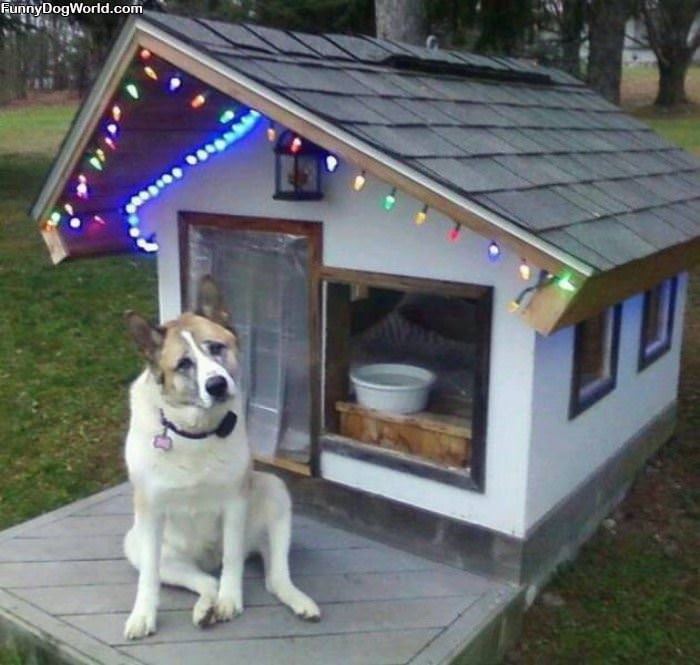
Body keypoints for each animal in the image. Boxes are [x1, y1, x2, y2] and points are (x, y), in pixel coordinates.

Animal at [122, 274, 320, 640]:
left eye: (216, 348)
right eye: (184, 364)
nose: (216, 384)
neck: (195, 433)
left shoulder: (234, 503)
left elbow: (232, 561)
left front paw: (231, 600)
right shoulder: (151, 511)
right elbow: (148, 579)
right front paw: (143, 615)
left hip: (274, 491)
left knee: (272, 576)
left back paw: (298, 601)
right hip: (139, 544)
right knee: (204, 581)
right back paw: (204, 610)